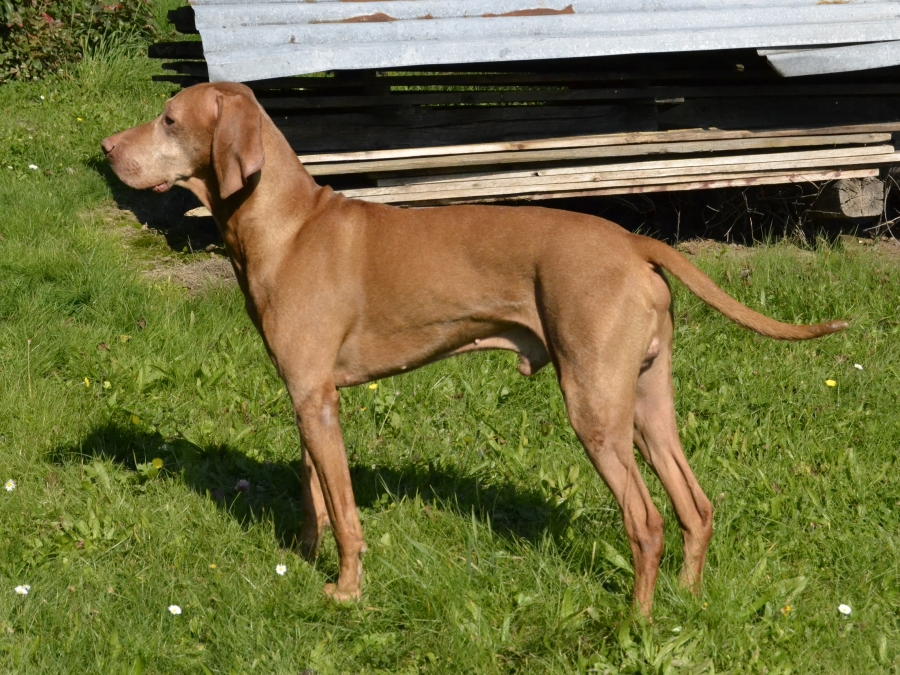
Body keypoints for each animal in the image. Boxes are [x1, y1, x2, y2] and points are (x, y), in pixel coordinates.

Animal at [102, 82, 847, 617]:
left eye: (169, 120)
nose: (106, 146)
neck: (290, 225)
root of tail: (634, 242)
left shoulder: (315, 399)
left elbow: (346, 513)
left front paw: (347, 593)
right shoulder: (309, 397)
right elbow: (316, 495)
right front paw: (310, 564)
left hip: (593, 409)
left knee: (648, 521)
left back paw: (636, 620)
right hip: (644, 400)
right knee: (696, 508)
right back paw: (687, 601)